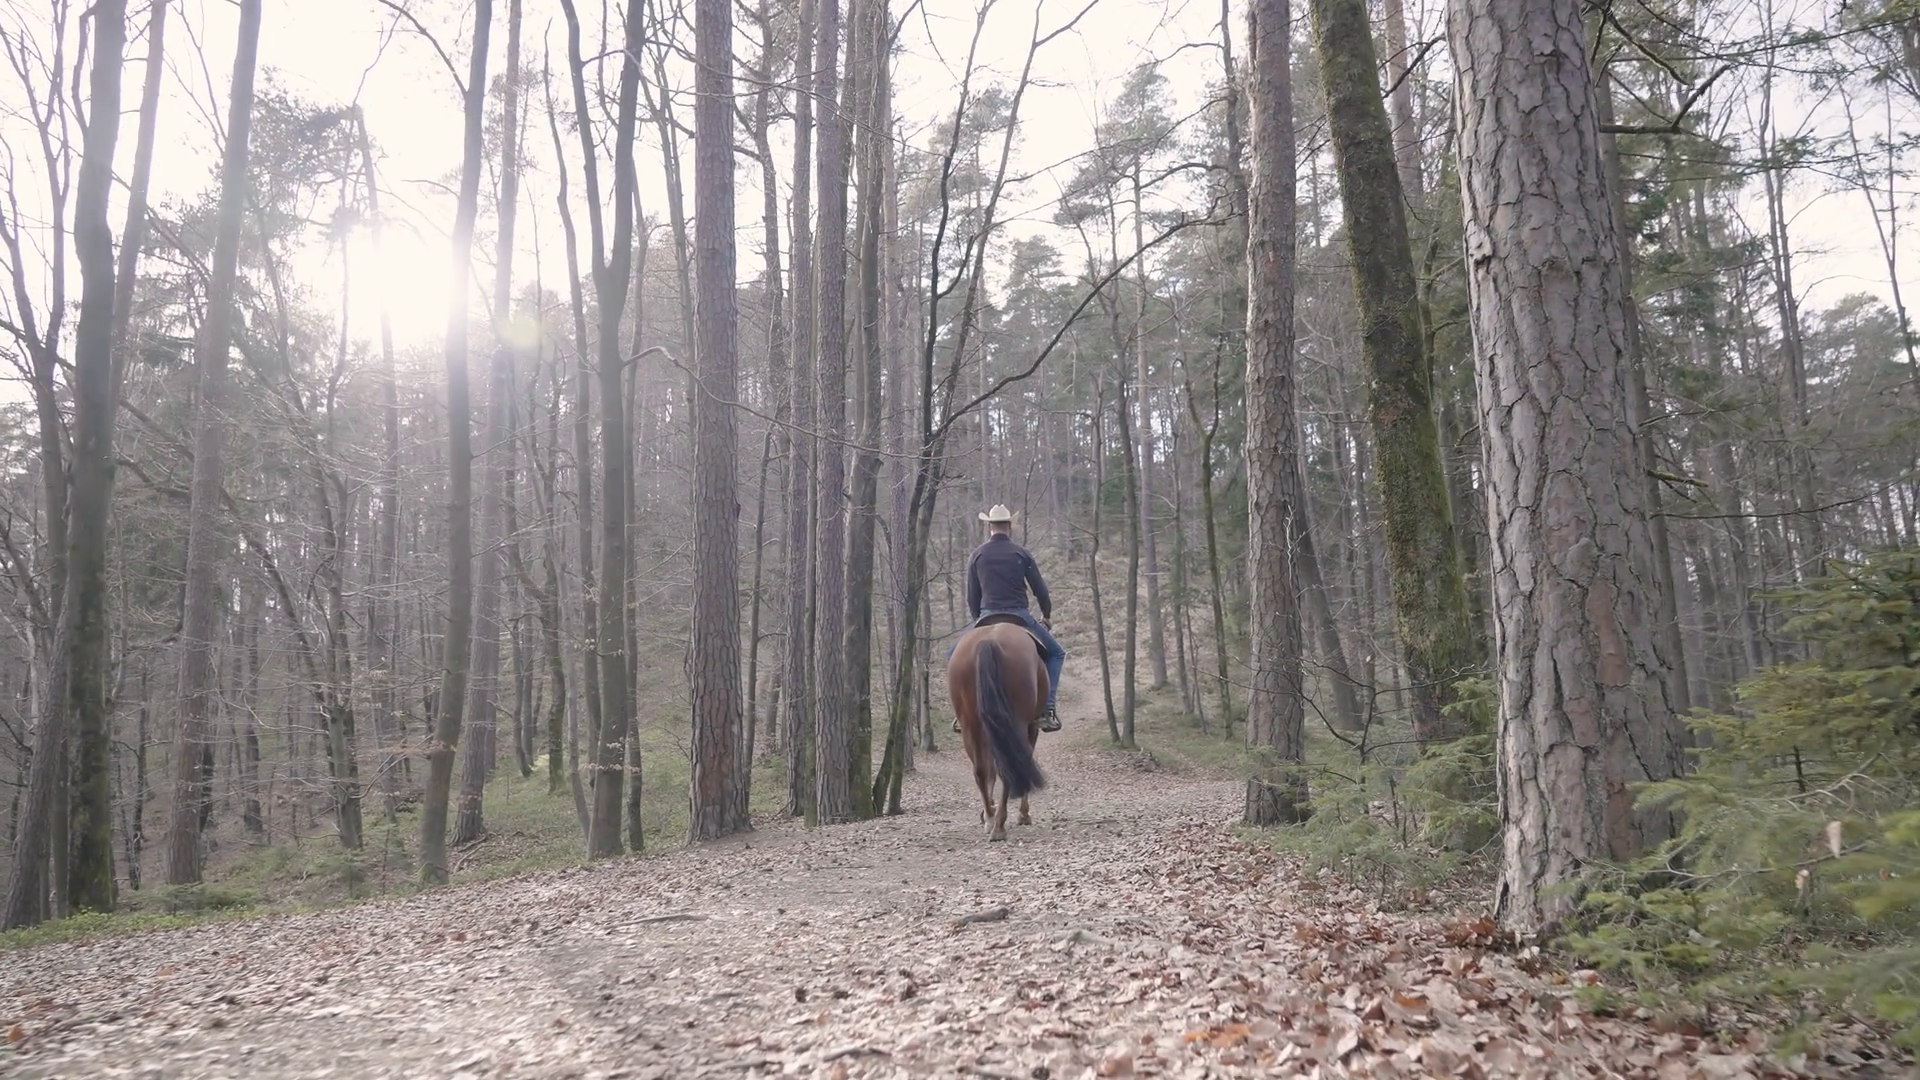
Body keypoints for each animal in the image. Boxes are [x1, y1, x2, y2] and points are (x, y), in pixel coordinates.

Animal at [947, 615, 1049, 841]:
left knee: (981, 770)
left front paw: (987, 812)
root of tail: (989, 641)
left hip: (971, 724)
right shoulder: (1031, 727)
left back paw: (991, 818)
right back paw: (1000, 825)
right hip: (1018, 724)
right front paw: (1023, 814)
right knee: (1009, 767)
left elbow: (990, 770)